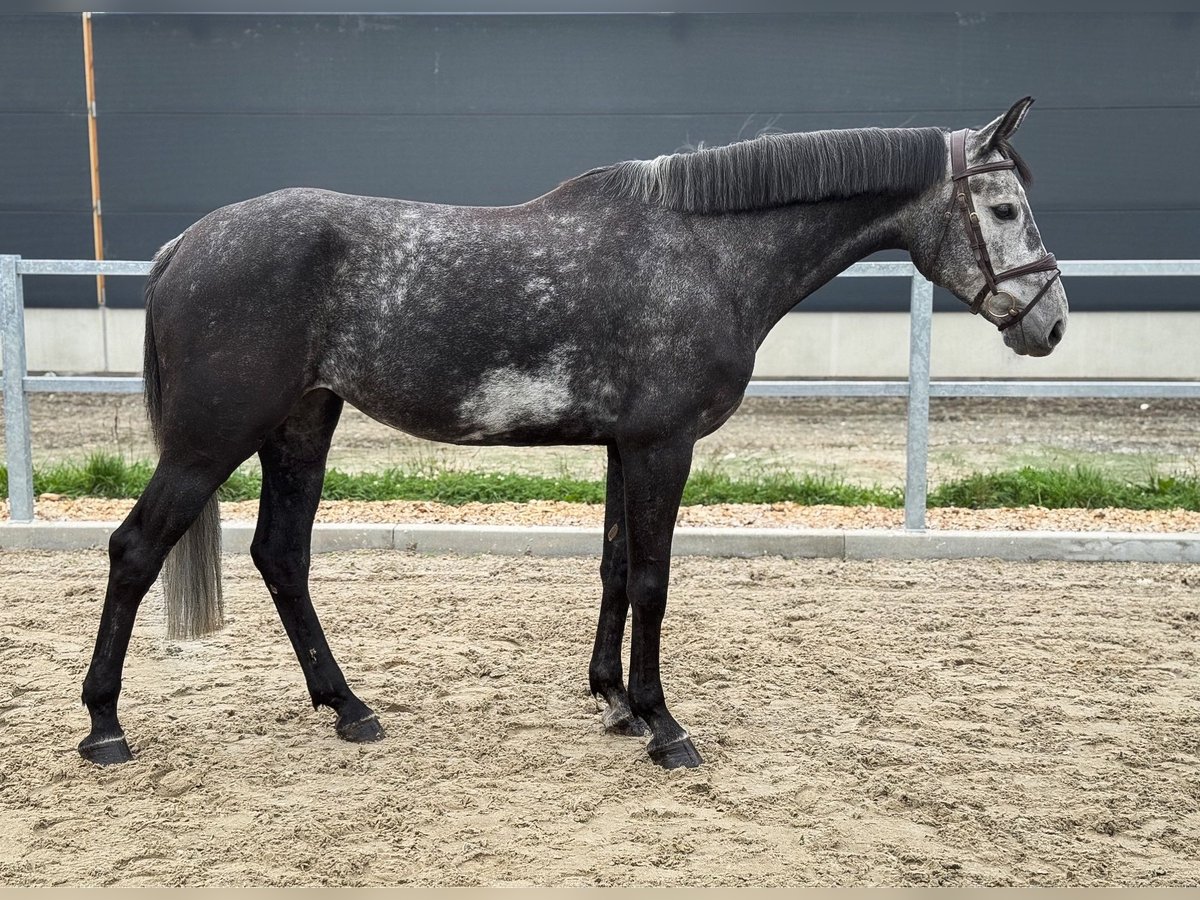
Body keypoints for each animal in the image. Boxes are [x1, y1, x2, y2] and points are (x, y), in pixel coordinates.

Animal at [79, 102, 1065, 772]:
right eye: (1004, 209)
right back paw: (105, 727)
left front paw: (615, 702)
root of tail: (184, 246)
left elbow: (615, 568)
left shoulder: (625, 447)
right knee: (136, 550)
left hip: (300, 425)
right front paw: (664, 726)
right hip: (209, 443)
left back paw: (349, 707)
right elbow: (655, 580)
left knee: (282, 555)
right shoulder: (665, 445)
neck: (703, 255)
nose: (1049, 324)